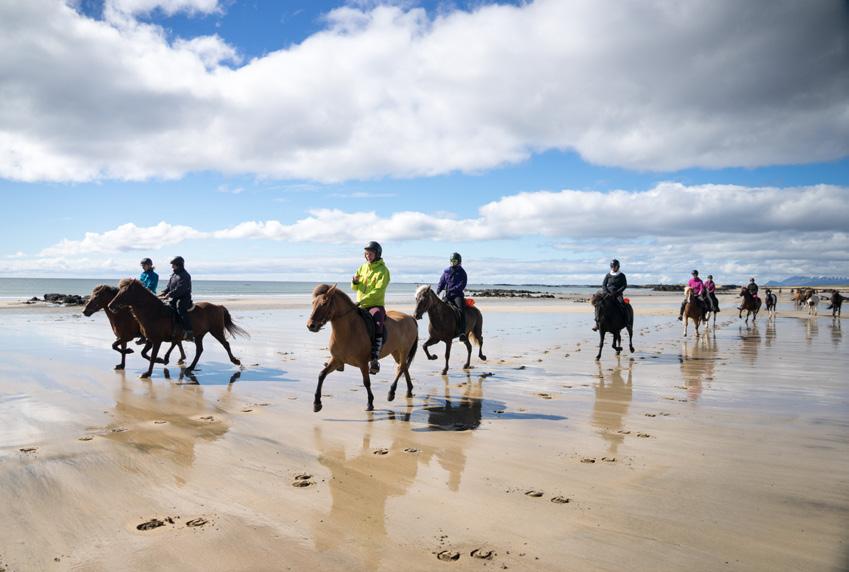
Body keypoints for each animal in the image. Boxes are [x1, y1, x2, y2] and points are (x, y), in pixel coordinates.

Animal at [107, 278, 247, 378]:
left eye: (125, 292)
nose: (110, 305)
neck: (153, 312)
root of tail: (218, 306)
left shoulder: (156, 340)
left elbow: (151, 356)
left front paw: (148, 372)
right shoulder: (151, 339)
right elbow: (146, 353)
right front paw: (162, 360)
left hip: (216, 331)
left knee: (225, 344)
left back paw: (236, 361)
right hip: (199, 335)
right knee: (199, 350)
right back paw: (190, 368)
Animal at [308, 284, 420, 412]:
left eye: (324, 303)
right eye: (313, 303)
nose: (311, 325)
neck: (349, 330)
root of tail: (410, 317)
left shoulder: (363, 363)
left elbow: (366, 382)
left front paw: (370, 403)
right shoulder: (337, 360)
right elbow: (321, 375)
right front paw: (317, 403)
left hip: (404, 350)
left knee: (401, 368)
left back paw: (391, 392)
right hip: (396, 352)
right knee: (404, 366)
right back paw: (409, 390)